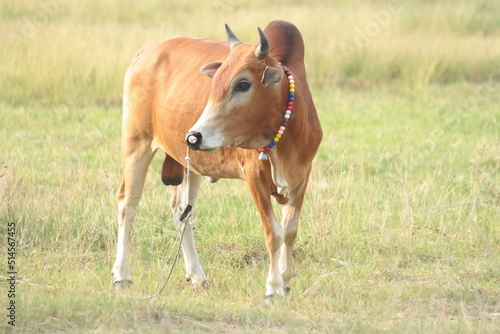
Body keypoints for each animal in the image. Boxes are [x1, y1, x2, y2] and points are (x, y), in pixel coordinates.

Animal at [112, 20, 324, 300]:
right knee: (128, 204)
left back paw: (197, 275)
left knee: (181, 211)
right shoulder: (254, 177)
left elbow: (290, 231)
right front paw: (273, 287)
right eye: (215, 84)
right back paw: (121, 275)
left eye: (243, 84)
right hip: (137, 143)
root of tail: (146, 51)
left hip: (190, 165)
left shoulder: (302, 175)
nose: (193, 136)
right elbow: (273, 233)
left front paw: (286, 280)